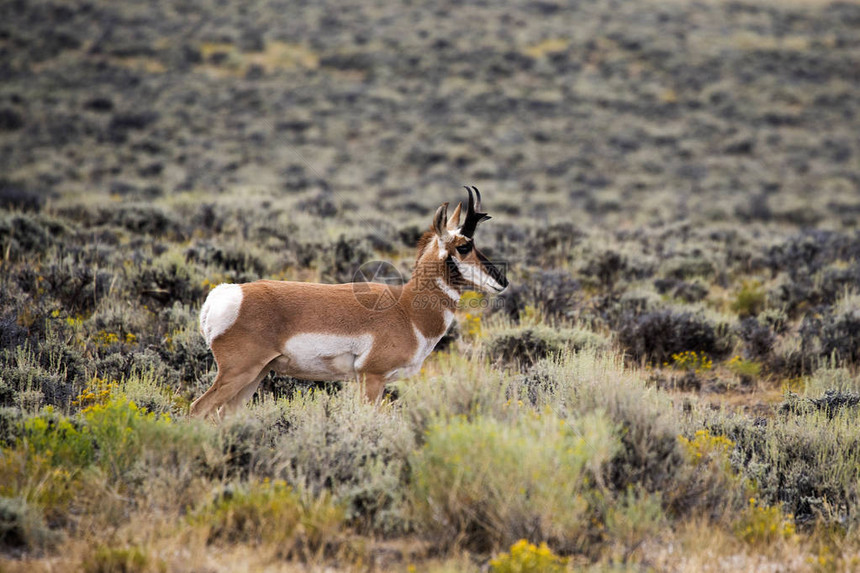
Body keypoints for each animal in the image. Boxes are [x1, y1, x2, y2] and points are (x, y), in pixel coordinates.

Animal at [190, 187, 504, 416]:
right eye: (463, 246)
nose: (503, 281)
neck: (406, 309)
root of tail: (225, 294)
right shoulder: (371, 379)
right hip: (238, 372)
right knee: (198, 409)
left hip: (255, 375)